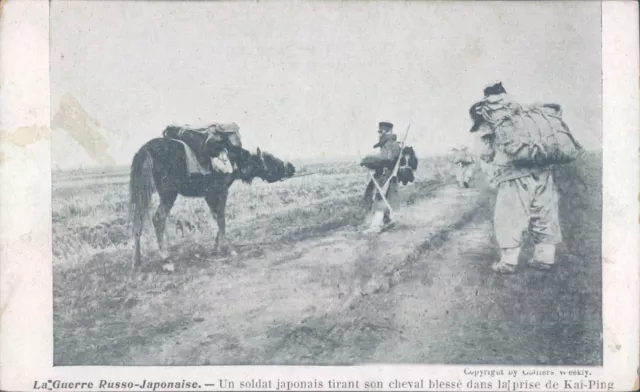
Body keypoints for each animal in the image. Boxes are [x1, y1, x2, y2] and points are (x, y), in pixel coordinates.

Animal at [128, 136, 298, 272]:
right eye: (270, 158)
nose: (291, 167)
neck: (234, 162)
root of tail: (144, 150)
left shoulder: (209, 195)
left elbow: (217, 217)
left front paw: (217, 247)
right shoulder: (220, 191)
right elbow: (221, 218)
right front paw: (227, 248)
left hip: (143, 193)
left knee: (138, 222)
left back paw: (137, 262)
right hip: (168, 193)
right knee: (158, 219)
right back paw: (166, 260)